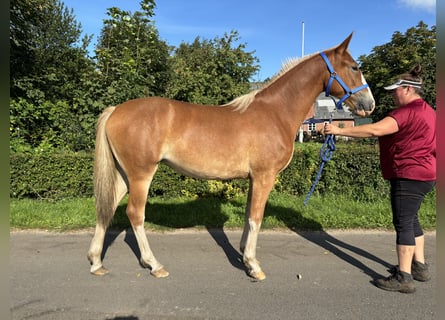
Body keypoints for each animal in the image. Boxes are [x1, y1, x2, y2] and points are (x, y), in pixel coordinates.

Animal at [87, 33, 374, 280]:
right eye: (354, 67)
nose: (369, 104)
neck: (275, 111)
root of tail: (115, 110)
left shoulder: (254, 179)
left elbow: (248, 216)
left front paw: (245, 256)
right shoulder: (264, 177)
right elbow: (256, 218)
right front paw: (254, 266)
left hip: (124, 175)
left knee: (107, 207)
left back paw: (97, 262)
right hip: (141, 174)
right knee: (135, 214)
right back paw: (154, 265)